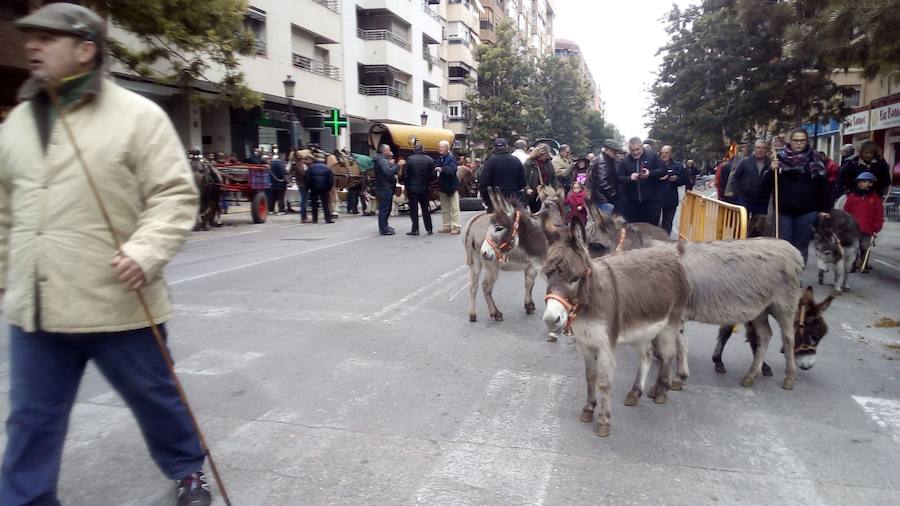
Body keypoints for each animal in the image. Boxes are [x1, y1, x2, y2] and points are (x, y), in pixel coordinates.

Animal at [540, 219, 688, 436]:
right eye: (547, 276)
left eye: (575, 278)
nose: (551, 319)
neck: (589, 302)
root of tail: (670, 252)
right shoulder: (585, 344)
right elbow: (590, 377)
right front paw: (588, 410)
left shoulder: (605, 344)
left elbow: (604, 381)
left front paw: (603, 422)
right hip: (644, 327)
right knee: (647, 353)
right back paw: (635, 393)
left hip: (670, 322)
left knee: (669, 351)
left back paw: (662, 390)